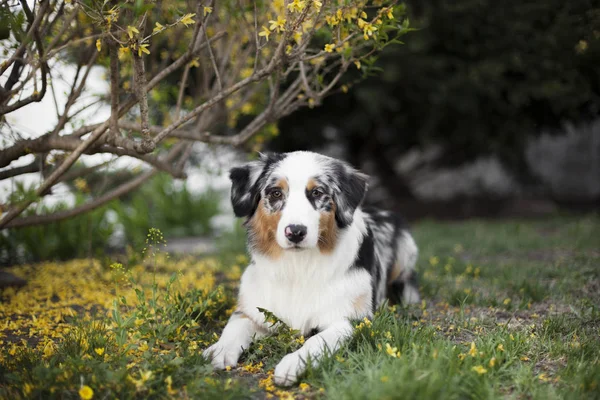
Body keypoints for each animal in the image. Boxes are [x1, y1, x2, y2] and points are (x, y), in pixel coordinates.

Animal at [202, 150, 418, 384]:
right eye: (276, 193)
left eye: (317, 192)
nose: (295, 232)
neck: (298, 267)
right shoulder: (254, 309)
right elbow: (235, 325)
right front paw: (219, 350)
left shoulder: (352, 319)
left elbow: (319, 339)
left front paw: (294, 363)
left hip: (406, 249)